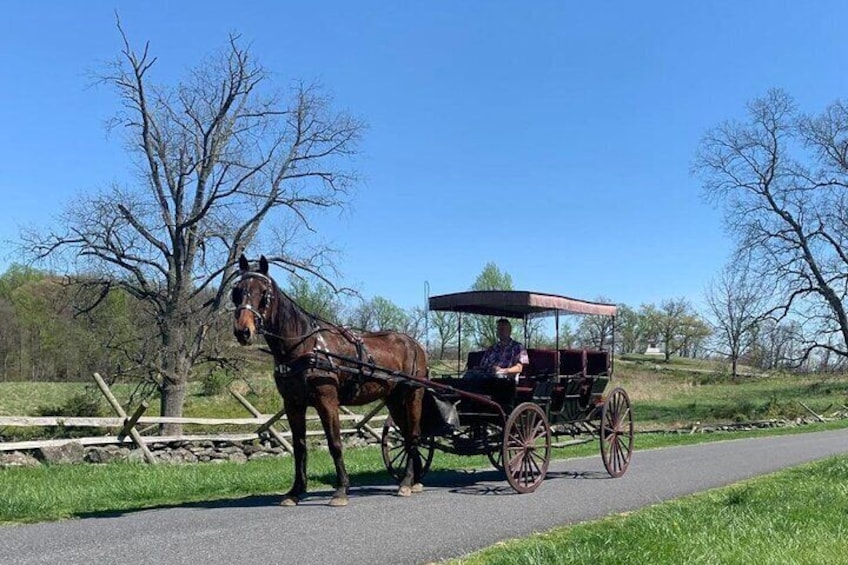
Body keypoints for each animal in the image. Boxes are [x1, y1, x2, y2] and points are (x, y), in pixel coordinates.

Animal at [230, 253, 428, 504]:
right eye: (237, 291)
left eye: (264, 293)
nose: (242, 331)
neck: (304, 346)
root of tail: (415, 344)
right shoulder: (293, 404)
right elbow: (300, 446)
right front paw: (295, 492)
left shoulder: (327, 401)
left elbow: (335, 443)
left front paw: (341, 489)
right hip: (393, 399)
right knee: (407, 436)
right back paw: (415, 480)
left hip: (413, 394)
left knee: (413, 435)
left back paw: (406, 482)